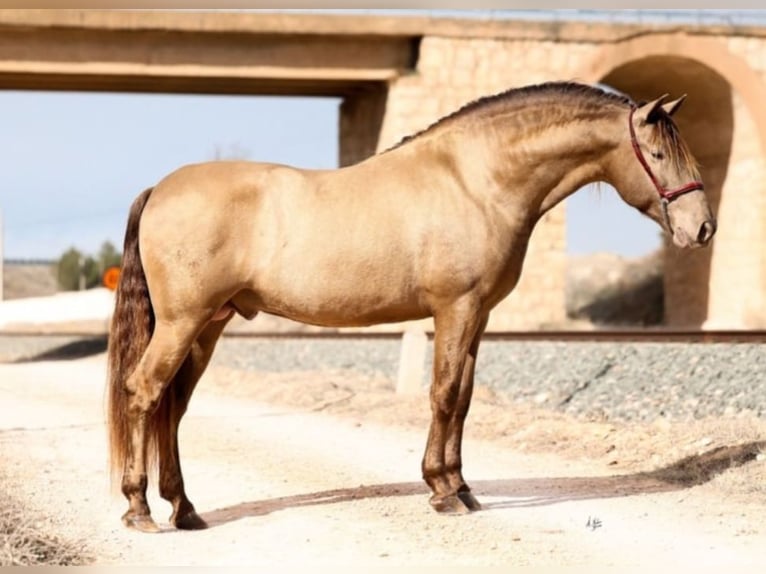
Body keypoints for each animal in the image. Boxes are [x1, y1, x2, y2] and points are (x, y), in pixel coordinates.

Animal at [107, 81, 716, 532]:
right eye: (657, 154)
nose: (703, 228)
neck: (474, 180)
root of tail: (160, 189)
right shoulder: (456, 309)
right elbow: (443, 394)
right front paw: (442, 492)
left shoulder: (479, 316)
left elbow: (463, 398)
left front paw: (461, 487)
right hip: (183, 323)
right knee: (143, 394)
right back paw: (139, 509)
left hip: (207, 326)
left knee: (172, 408)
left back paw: (184, 508)